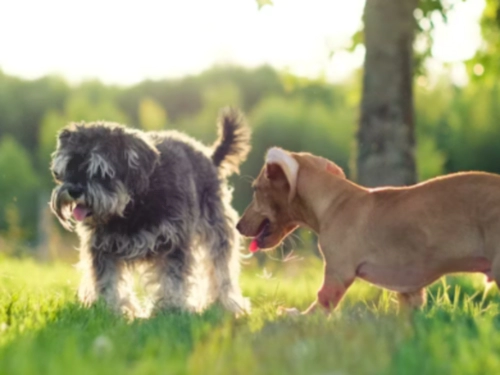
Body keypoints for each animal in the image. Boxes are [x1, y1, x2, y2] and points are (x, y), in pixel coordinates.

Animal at [49, 108, 252, 318]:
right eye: (68, 166)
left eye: (100, 170)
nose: (74, 191)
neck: (133, 204)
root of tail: (209, 157)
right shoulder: (102, 247)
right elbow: (107, 280)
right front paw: (111, 309)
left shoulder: (173, 242)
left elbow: (172, 279)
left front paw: (170, 309)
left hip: (217, 230)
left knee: (221, 267)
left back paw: (226, 303)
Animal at [236, 147, 498, 314]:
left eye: (255, 189)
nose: (237, 225)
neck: (335, 201)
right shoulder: (410, 293)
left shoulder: (337, 275)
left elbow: (316, 309)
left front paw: (291, 316)